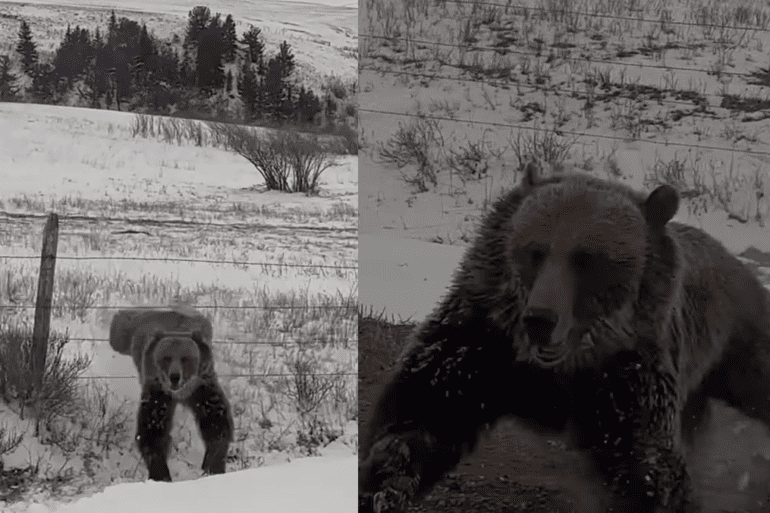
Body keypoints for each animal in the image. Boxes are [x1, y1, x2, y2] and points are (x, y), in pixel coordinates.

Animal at [109, 306, 234, 482]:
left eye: (185, 358)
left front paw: (213, 465)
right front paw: (160, 472)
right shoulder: (158, 389)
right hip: (127, 330)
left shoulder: (202, 384)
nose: (174, 376)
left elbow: (215, 421)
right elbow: (153, 427)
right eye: (166, 358)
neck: (181, 392)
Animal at [358, 162, 770, 513]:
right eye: (534, 251)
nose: (540, 319)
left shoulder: (626, 375)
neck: (560, 370)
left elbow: (646, 467)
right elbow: (423, 409)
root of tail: (733, 257)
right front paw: (385, 484)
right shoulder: (483, 342)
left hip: (738, 338)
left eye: (587, 259)